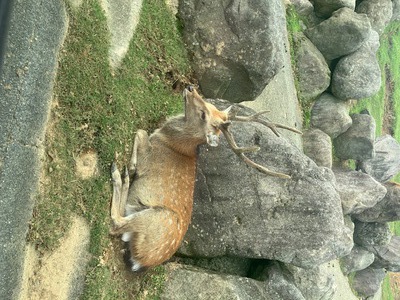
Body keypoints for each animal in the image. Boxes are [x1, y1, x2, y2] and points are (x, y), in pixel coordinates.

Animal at [109, 85, 300, 270]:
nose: (190, 87)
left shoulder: (149, 156)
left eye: (203, 114)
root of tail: (143, 261)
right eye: (211, 106)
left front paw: (130, 167)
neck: (172, 140)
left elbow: (140, 132)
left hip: (158, 216)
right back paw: (124, 178)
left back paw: (117, 174)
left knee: (116, 223)